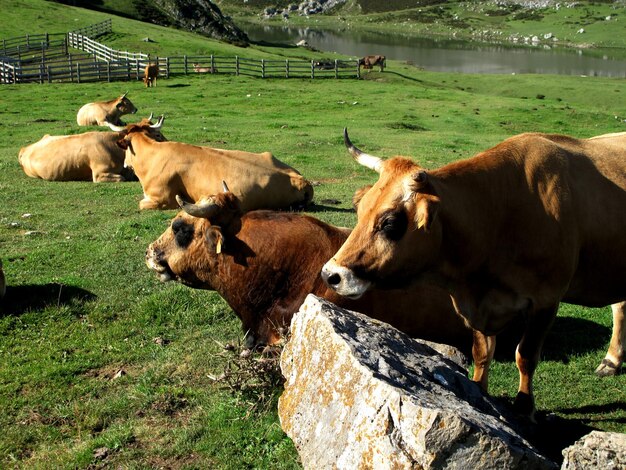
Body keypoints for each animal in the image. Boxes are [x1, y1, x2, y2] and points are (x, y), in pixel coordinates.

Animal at [322, 127, 624, 418]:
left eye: (390, 223)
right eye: (361, 210)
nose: (331, 275)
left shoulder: (546, 300)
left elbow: (525, 356)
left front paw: (524, 408)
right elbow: (481, 352)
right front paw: (479, 391)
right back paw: (611, 361)